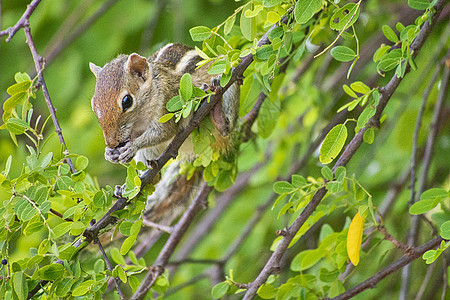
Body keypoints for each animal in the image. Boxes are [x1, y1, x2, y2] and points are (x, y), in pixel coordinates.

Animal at [89, 43, 241, 168]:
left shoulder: (165, 103)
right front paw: (109, 153)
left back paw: (218, 113)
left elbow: (164, 131)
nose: (111, 143)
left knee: (226, 129)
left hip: (228, 78)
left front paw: (132, 146)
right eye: (93, 104)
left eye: (127, 101)